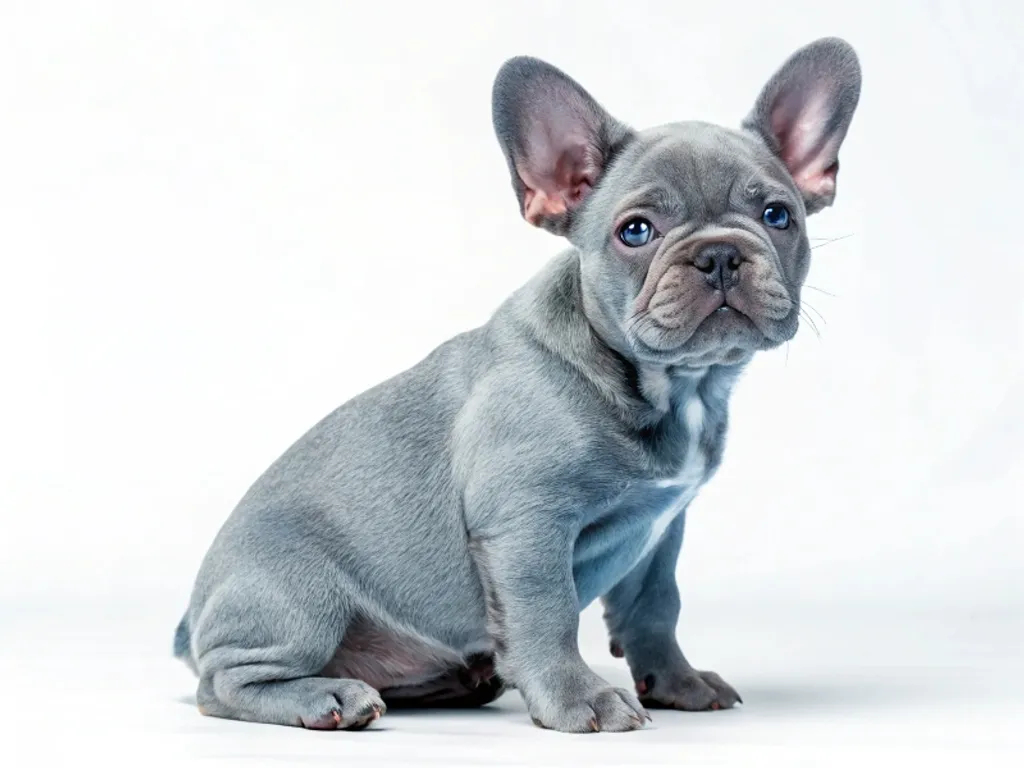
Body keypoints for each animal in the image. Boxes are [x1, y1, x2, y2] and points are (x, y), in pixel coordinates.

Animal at [174, 36, 856, 733]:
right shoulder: (527, 524)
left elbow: (655, 608)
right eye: (636, 231)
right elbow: (546, 613)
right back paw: (328, 698)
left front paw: (677, 682)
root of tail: (191, 618)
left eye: (778, 216)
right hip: (300, 596)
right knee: (223, 683)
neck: (674, 385)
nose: (719, 254)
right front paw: (579, 699)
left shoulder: (661, 534)